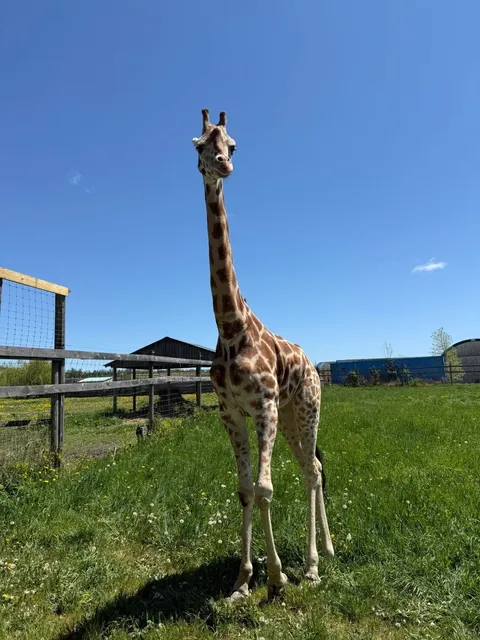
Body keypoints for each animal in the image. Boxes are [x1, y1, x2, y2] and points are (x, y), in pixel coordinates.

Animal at [192, 109, 334, 602]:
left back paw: (313, 564)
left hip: (306, 409)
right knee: (313, 465)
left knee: (311, 471)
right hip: (291, 417)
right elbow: (244, 489)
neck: (232, 327)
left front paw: (276, 577)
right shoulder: (231, 412)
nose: (221, 164)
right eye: (198, 144)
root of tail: (312, 364)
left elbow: (266, 488)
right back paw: (326, 550)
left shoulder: (265, 407)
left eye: (233, 144)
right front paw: (241, 580)